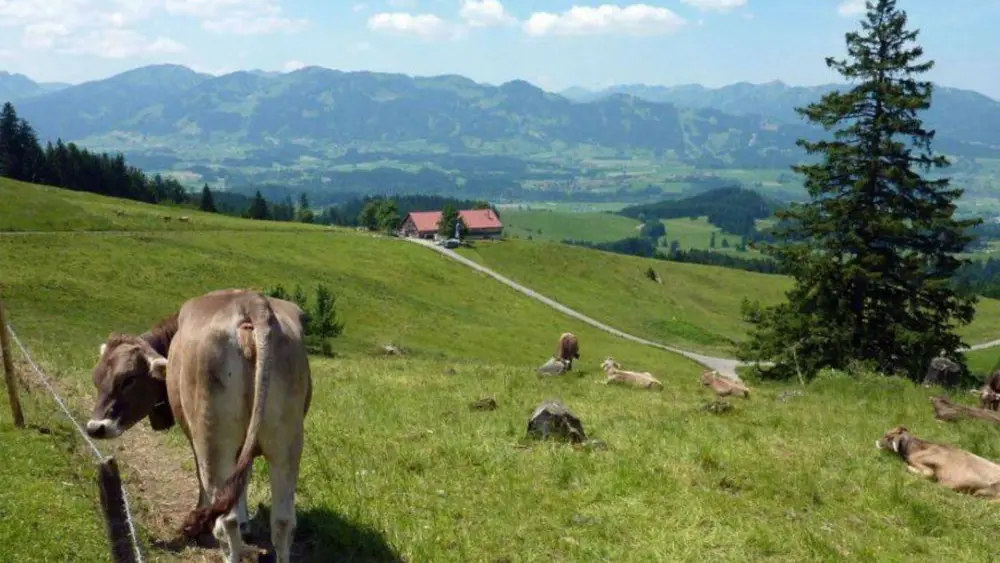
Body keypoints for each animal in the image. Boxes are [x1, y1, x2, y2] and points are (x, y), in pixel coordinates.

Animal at [85, 289, 313, 563]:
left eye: (128, 380)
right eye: (96, 379)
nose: (95, 427)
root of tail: (250, 300)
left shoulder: (197, 442)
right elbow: (242, 480)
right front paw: (246, 519)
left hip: (213, 442)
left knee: (226, 522)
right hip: (286, 444)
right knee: (282, 522)